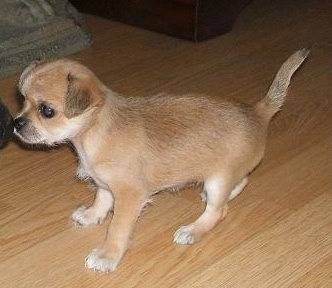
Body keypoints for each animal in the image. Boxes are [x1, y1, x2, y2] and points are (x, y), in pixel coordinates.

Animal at [13, 49, 308, 272]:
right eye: (22, 100)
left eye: (47, 111)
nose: (16, 123)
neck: (92, 132)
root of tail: (257, 113)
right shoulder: (106, 184)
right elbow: (102, 200)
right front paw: (91, 215)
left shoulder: (130, 195)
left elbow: (117, 228)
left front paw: (108, 255)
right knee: (242, 179)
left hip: (218, 179)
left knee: (219, 210)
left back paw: (193, 230)